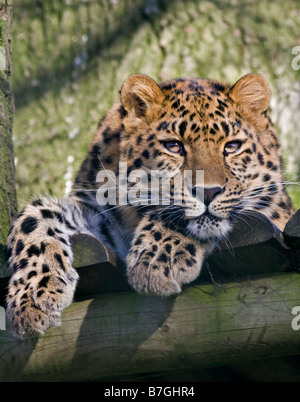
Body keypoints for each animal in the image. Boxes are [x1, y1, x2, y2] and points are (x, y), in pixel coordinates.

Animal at [5, 72, 294, 336]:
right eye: (174, 146)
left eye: (232, 146)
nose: (208, 192)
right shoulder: (97, 212)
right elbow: (35, 217)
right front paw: (32, 297)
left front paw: (155, 263)